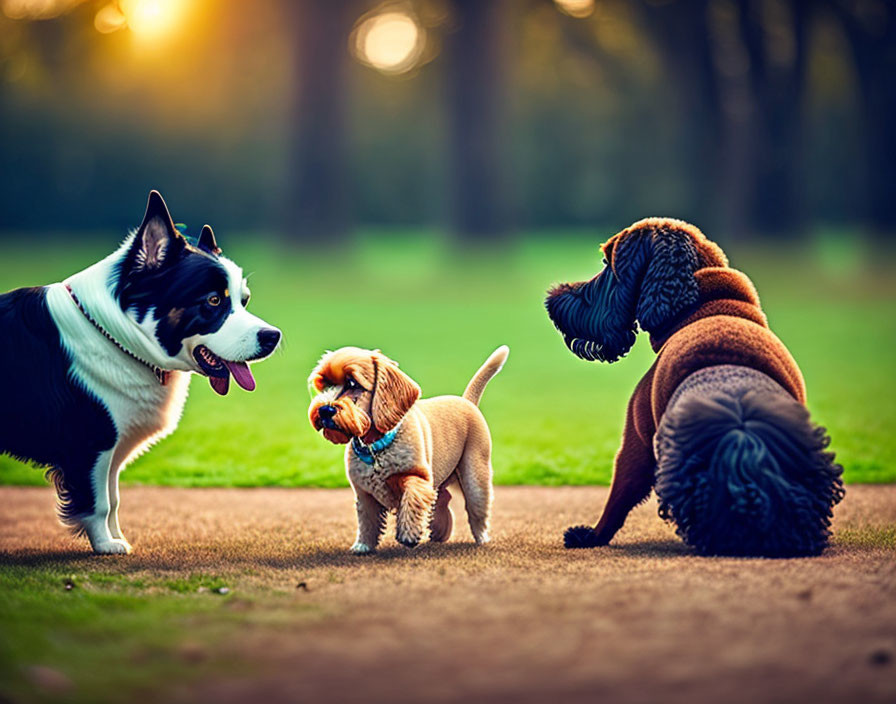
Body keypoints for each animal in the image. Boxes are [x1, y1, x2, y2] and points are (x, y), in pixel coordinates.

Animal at [0, 190, 280, 552]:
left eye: (243, 300)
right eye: (215, 301)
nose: (273, 337)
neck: (115, 334)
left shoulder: (111, 448)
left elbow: (113, 498)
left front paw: (114, 537)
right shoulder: (93, 442)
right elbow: (98, 502)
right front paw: (105, 545)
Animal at [308, 344, 508, 552]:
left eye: (353, 383)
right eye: (325, 385)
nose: (324, 410)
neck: (375, 447)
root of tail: (467, 401)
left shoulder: (419, 477)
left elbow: (412, 497)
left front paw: (409, 534)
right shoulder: (364, 494)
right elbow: (367, 521)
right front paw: (363, 545)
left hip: (474, 478)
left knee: (476, 510)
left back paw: (481, 538)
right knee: (443, 497)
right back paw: (439, 533)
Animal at [544, 217, 844, 560]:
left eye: (608, 264)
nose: (553, 299)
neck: (703, 304)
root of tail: (741, 428)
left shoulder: (636, 440)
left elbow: (618, 496)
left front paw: (592, 535)